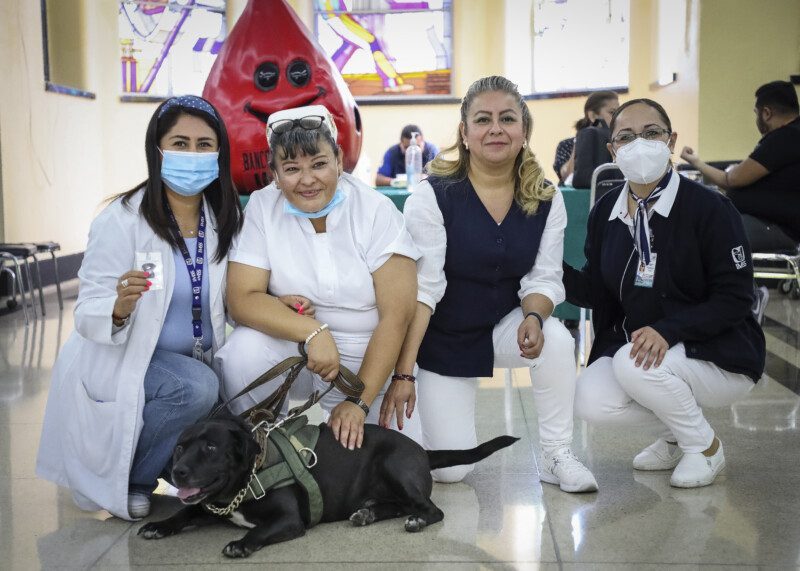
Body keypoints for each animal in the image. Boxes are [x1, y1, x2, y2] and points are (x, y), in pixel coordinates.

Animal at [140, 414, 516, 560]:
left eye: (210, 447)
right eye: (179, 447)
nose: (178, 471)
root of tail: (423, 451)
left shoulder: (289, 520)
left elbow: (257, 531)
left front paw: (241, 545)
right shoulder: (213, 506)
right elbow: (184, 513)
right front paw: (159, 526)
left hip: (394, 465)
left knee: (430, 509)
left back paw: (416, 521)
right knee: (399, 505)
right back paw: (366, 514)